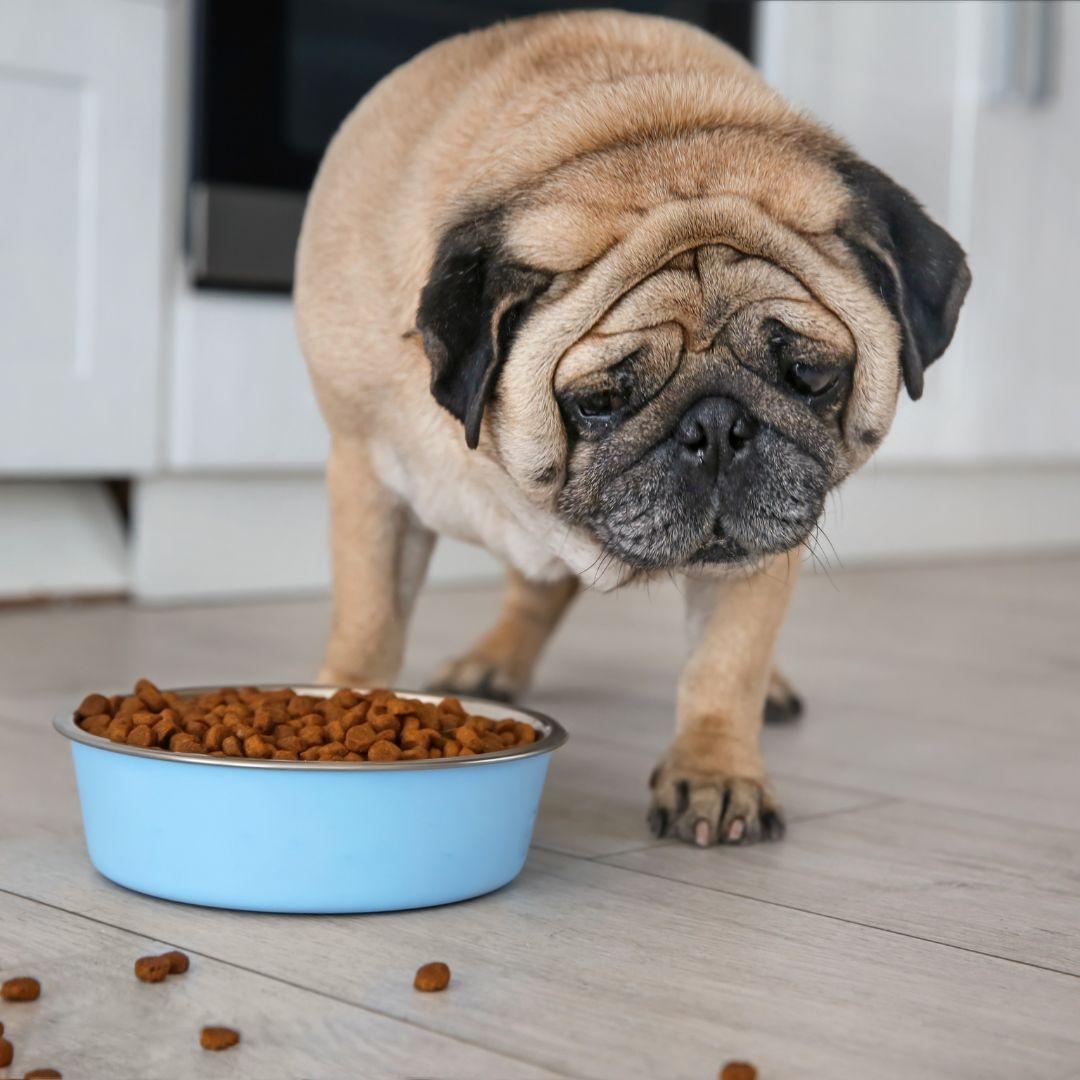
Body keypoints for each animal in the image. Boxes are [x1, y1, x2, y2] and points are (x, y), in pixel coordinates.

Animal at [295, 12, 972, 846]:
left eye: (810, 376)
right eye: (599, 401)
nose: (717, 425)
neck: (649, 133)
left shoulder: (757, 547)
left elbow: (725, 664)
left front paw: (714, 775)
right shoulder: (371, 474)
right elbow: (368, 622)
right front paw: (345, 703)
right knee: (533, 586)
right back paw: (493, 662)